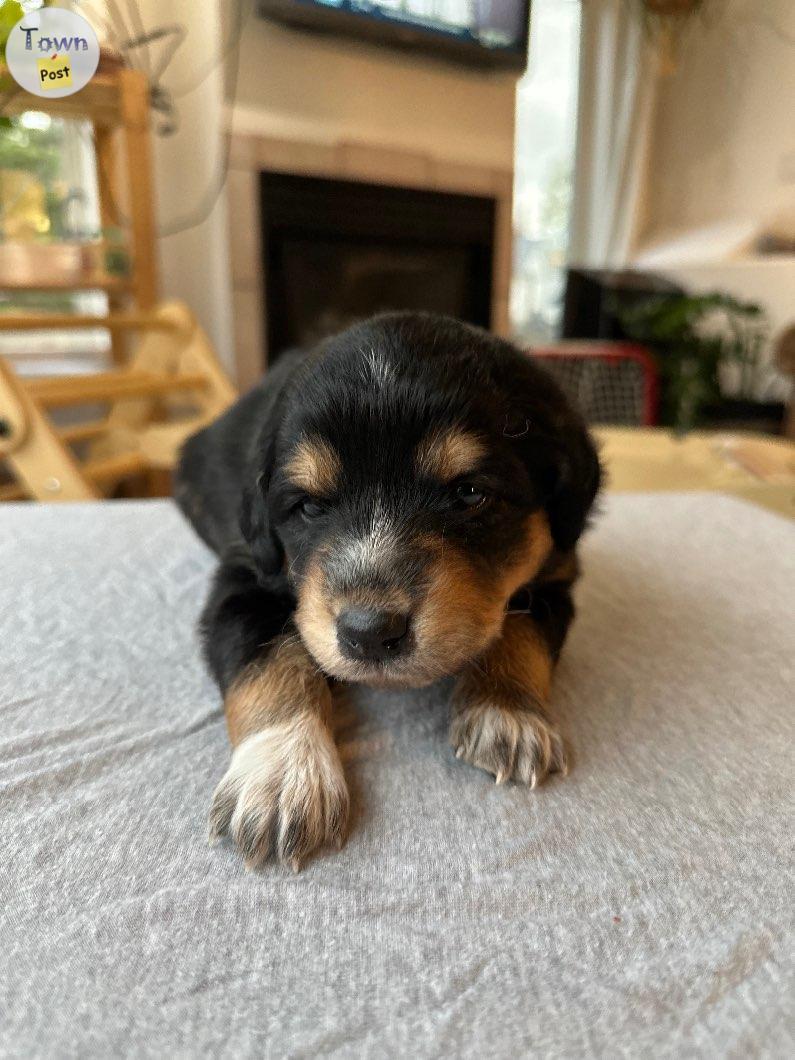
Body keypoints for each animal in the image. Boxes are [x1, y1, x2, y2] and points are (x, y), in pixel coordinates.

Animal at [177, 309, 602, 869]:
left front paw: (507, 714)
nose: (369, 633)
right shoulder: (243, 578)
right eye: (309, 506)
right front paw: (282, 776)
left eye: (470, 493)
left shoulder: (555, 574)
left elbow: (522, 633)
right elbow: (268, 663)